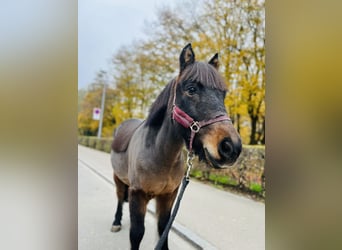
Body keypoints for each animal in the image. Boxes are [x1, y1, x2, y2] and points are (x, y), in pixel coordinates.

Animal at [111, 44, 242, 249]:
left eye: (223, 94)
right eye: (191, 89)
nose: (231, 147)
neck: (159, 155)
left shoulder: (168, 196)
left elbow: (163, 230)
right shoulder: (137, 195)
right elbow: (136, 233)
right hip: (117, 177)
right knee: (118, 198)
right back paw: (116, 221)